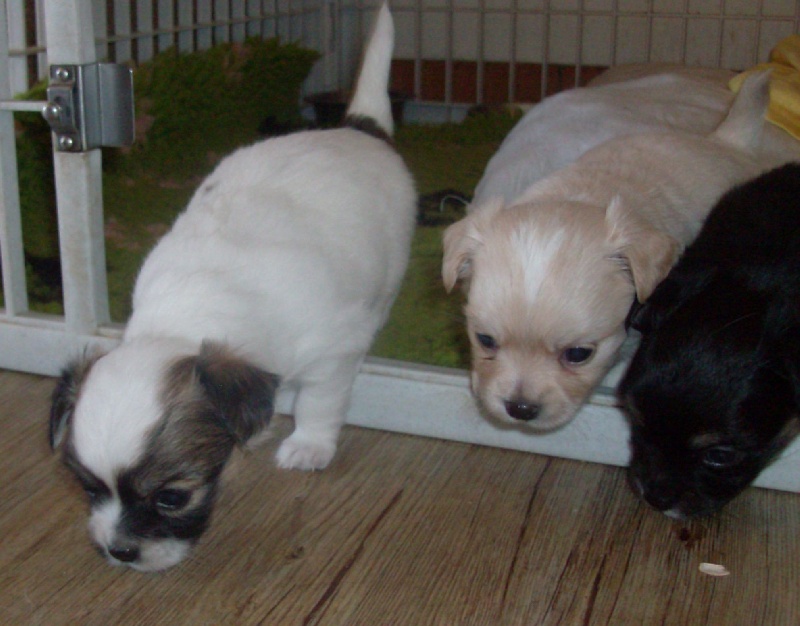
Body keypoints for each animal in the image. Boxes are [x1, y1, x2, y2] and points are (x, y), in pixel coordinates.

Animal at [48, 3, 416, 572]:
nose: (120, 551)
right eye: (89, 490)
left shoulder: (332, 351)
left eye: (172, 496)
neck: (184, 322)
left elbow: (320, 401)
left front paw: (309, 444)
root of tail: (359, 128)